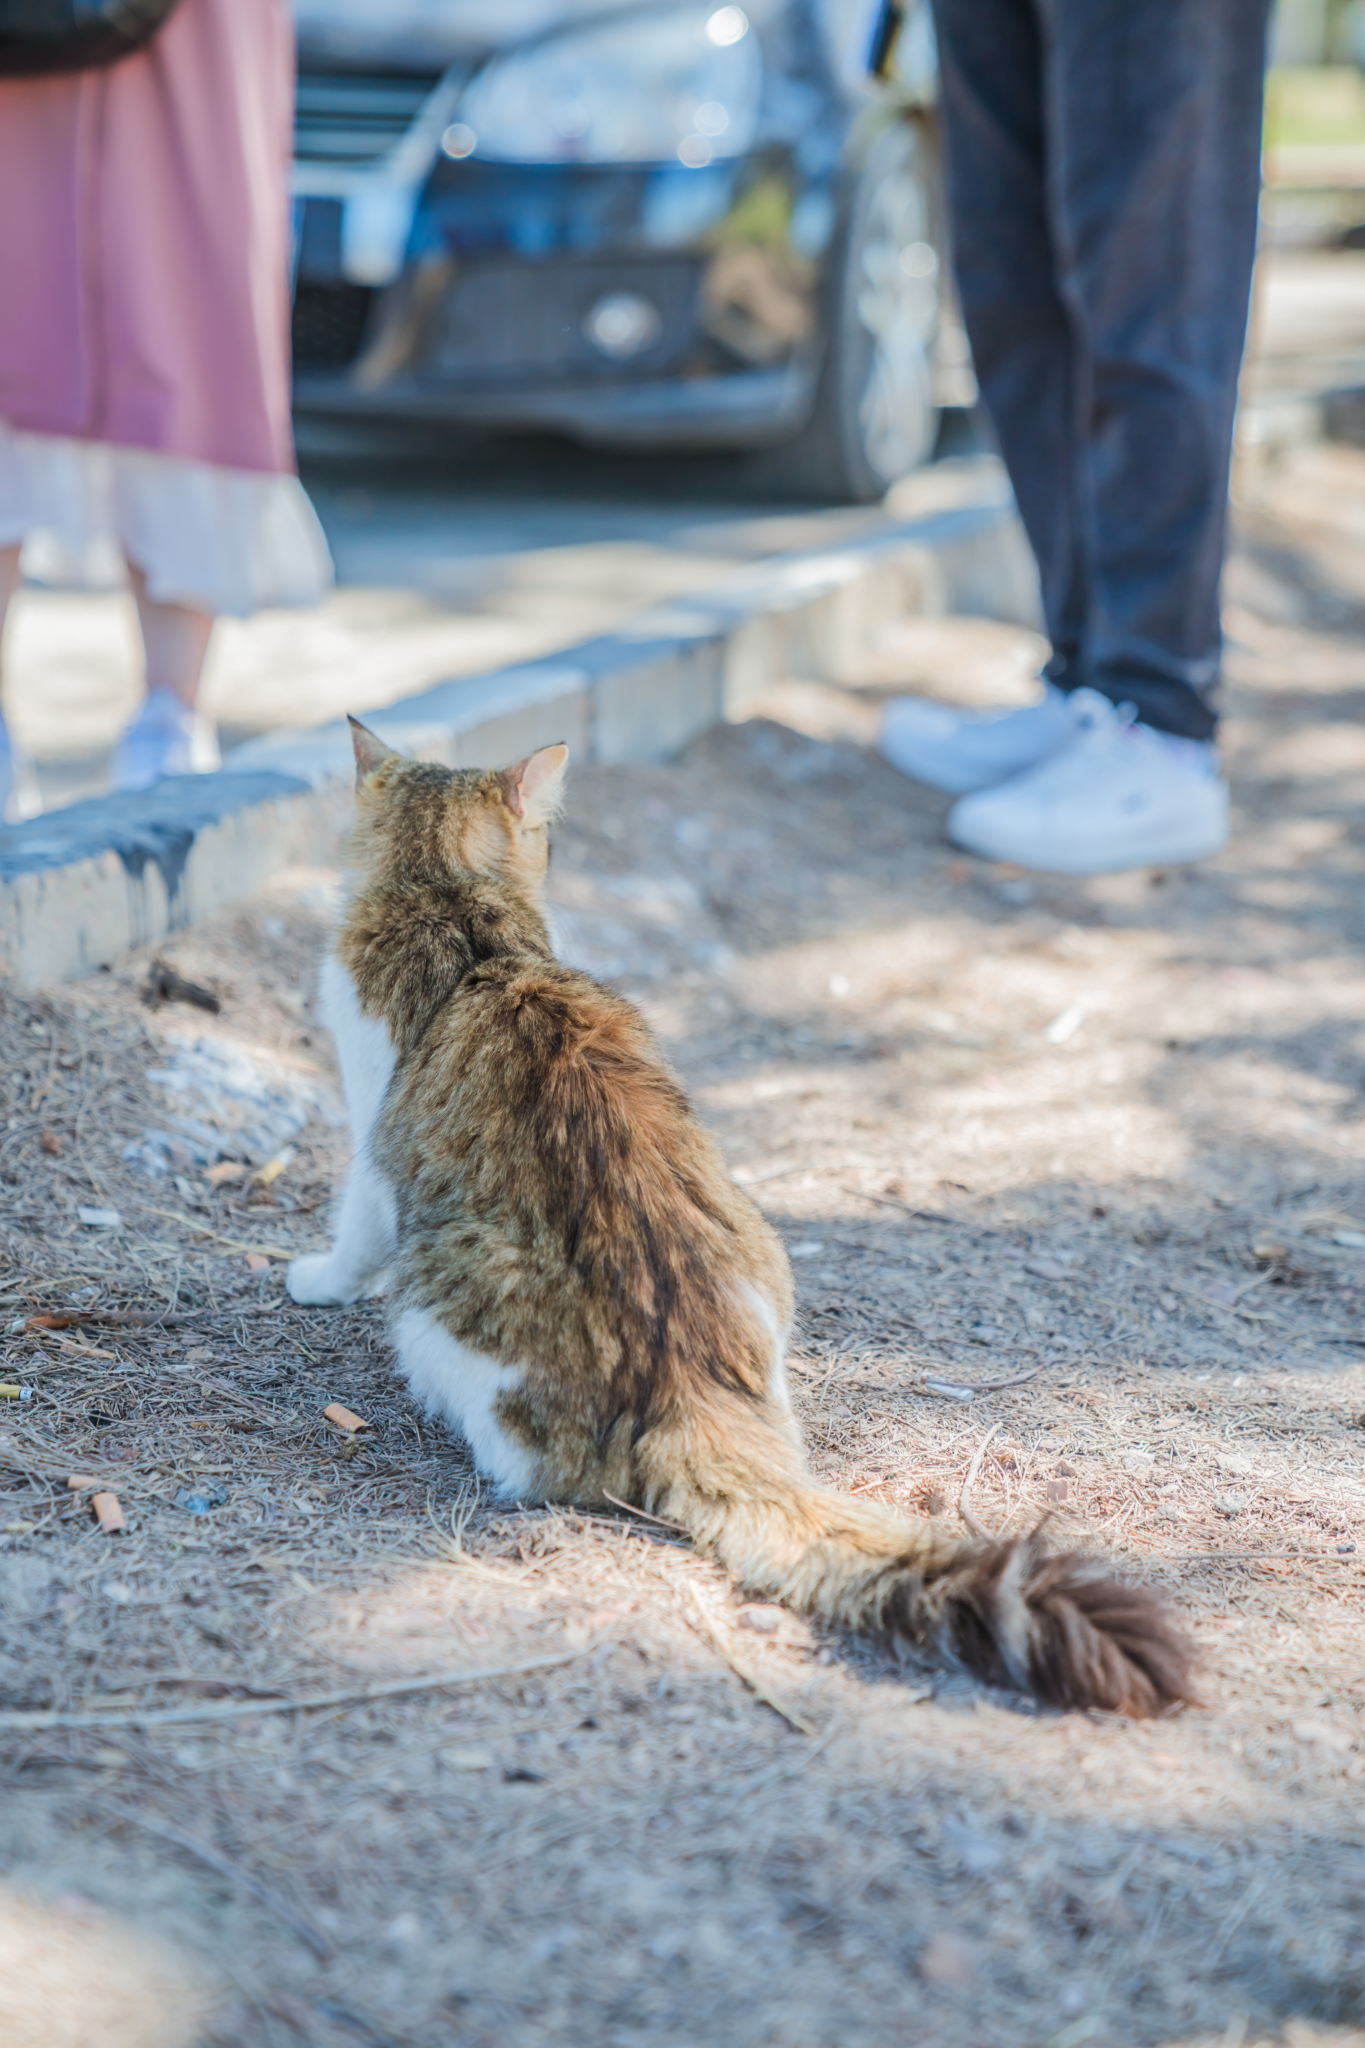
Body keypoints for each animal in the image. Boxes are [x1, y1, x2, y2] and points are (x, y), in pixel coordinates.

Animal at [290, 720, 1195, 1712]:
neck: (459, 909)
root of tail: (692, 1391)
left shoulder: (373, 1141)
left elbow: (352, 1228)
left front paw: (315, 1280)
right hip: (758, 1241)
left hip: (438, 1296)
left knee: (531, 1464)